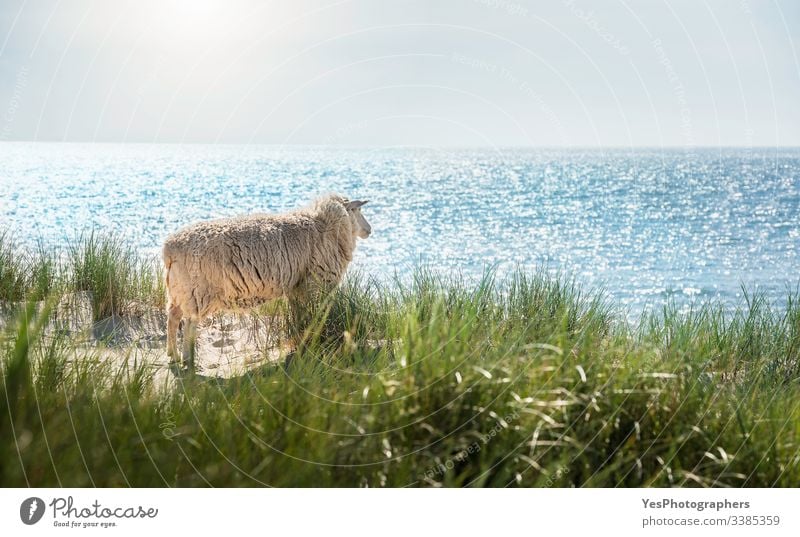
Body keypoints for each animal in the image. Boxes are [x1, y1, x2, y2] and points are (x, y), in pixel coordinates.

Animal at [163, 195, 376, 366]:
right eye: (357, 210)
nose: (370, 230)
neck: (325, 225)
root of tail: (169, 249)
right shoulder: (314, 283)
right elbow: (314, 315)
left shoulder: (297, 287)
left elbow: (299, 315)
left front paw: (301, 336)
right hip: (197, 292)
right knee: (189, 323)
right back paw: (187, 358)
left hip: (179, 291)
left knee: (173, 317)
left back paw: (173, 354)